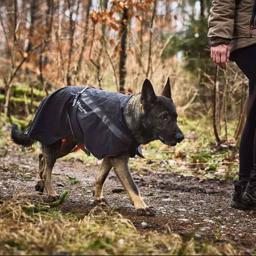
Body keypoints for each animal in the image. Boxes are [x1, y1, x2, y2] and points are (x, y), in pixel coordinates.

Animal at [11, 79, 184, 215]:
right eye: (164, 117)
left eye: (175, 117)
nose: (181, 137)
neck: (127, 117)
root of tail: (47, 96)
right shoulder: (119, 160)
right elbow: (132, 185)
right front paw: (142, 206)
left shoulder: (110, 157)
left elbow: (100, 178)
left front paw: (98, 198)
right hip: (55, 144)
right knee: (48, 170)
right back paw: (51, 193)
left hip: (67, 145)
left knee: (42, 157)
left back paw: (41, 183)